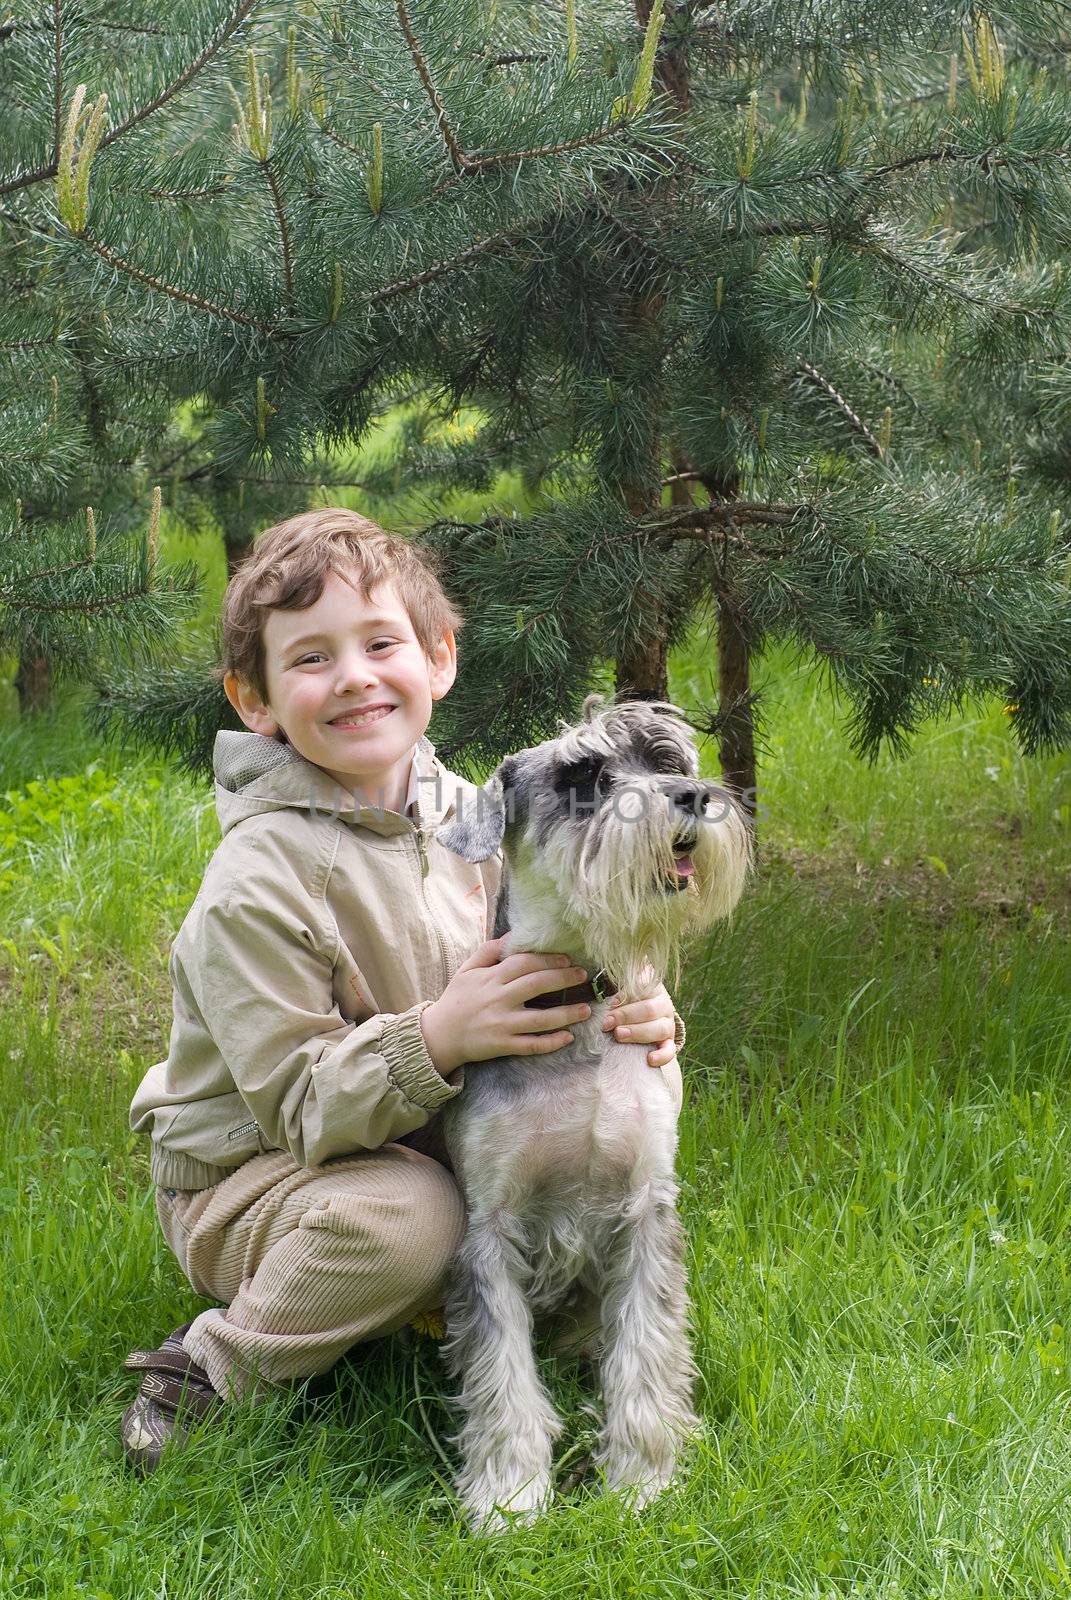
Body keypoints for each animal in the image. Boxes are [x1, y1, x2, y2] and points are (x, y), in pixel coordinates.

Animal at [435, 694, 752, 1529]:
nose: (691, 798)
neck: (579, 1002)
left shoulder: (644, 1211)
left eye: (667, 761)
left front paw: (642, 1482)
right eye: (584, 777)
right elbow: (502, 1377)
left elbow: (644, 1353)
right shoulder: (490, 1232)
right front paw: (509, 1498)